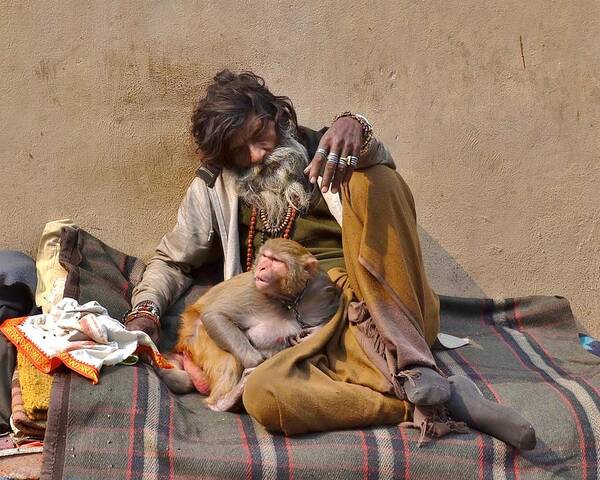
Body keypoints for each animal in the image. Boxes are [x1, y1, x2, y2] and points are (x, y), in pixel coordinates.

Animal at [157, 238, 340, 410]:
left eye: (276, 260)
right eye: (265, 256)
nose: (262, 268)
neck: (287, 300)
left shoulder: (320, 286)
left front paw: (314, 332)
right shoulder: (251, 290)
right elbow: (214, 315)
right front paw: (257, 363)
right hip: (197, 338)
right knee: (228, 354)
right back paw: (223, 402)